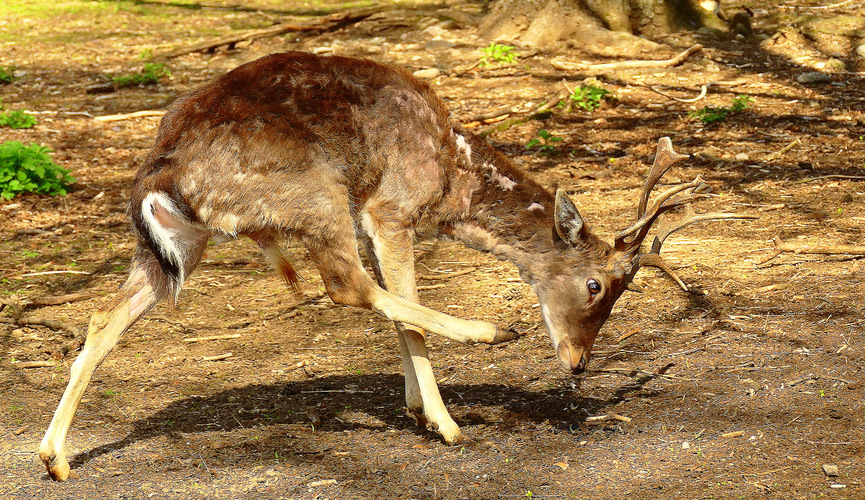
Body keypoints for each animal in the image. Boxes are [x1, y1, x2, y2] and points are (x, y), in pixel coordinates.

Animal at [38, 50, 744, 480]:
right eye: (596, 284)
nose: (577, 363)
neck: (451, 178)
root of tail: (160, 170)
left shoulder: (377, 218)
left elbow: (401, 311)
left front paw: (414, 405)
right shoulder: (390, 207)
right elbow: (404, 306)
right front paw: (441, 420)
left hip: (180, 245)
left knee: (103, 316)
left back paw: (55, 457)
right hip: (314, 193)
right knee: (345, 286)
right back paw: (490, 335)